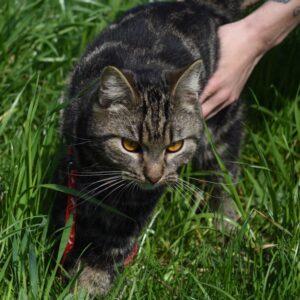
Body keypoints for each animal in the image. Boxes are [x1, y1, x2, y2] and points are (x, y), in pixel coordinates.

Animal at [53, 0, 244, 296]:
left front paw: (86, 288)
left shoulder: (131, 214)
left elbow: (104, 258)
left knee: (225, 173)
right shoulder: (75, 186)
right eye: (130, 145)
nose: (153, 176)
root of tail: (194, 4)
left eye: (175, 146)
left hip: (222, 122)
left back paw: (226, 221)